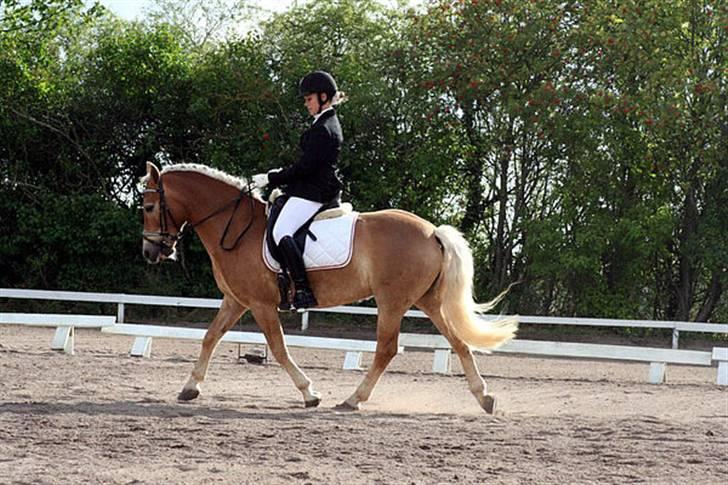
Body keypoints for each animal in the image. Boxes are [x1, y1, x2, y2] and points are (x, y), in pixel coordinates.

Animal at [141, 162, 516, 412]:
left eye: (148, 206)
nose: (150, 252)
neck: (235, 226)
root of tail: (431, 231)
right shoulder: (236, 300)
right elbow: (209, 338)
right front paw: (189, 388)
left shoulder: (261, 304)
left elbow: (279, 349)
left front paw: (310, 393)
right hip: (427, 301)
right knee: (459, 343)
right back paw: (484, 397)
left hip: (392, 301)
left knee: (387, 350)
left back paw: (352, 400)